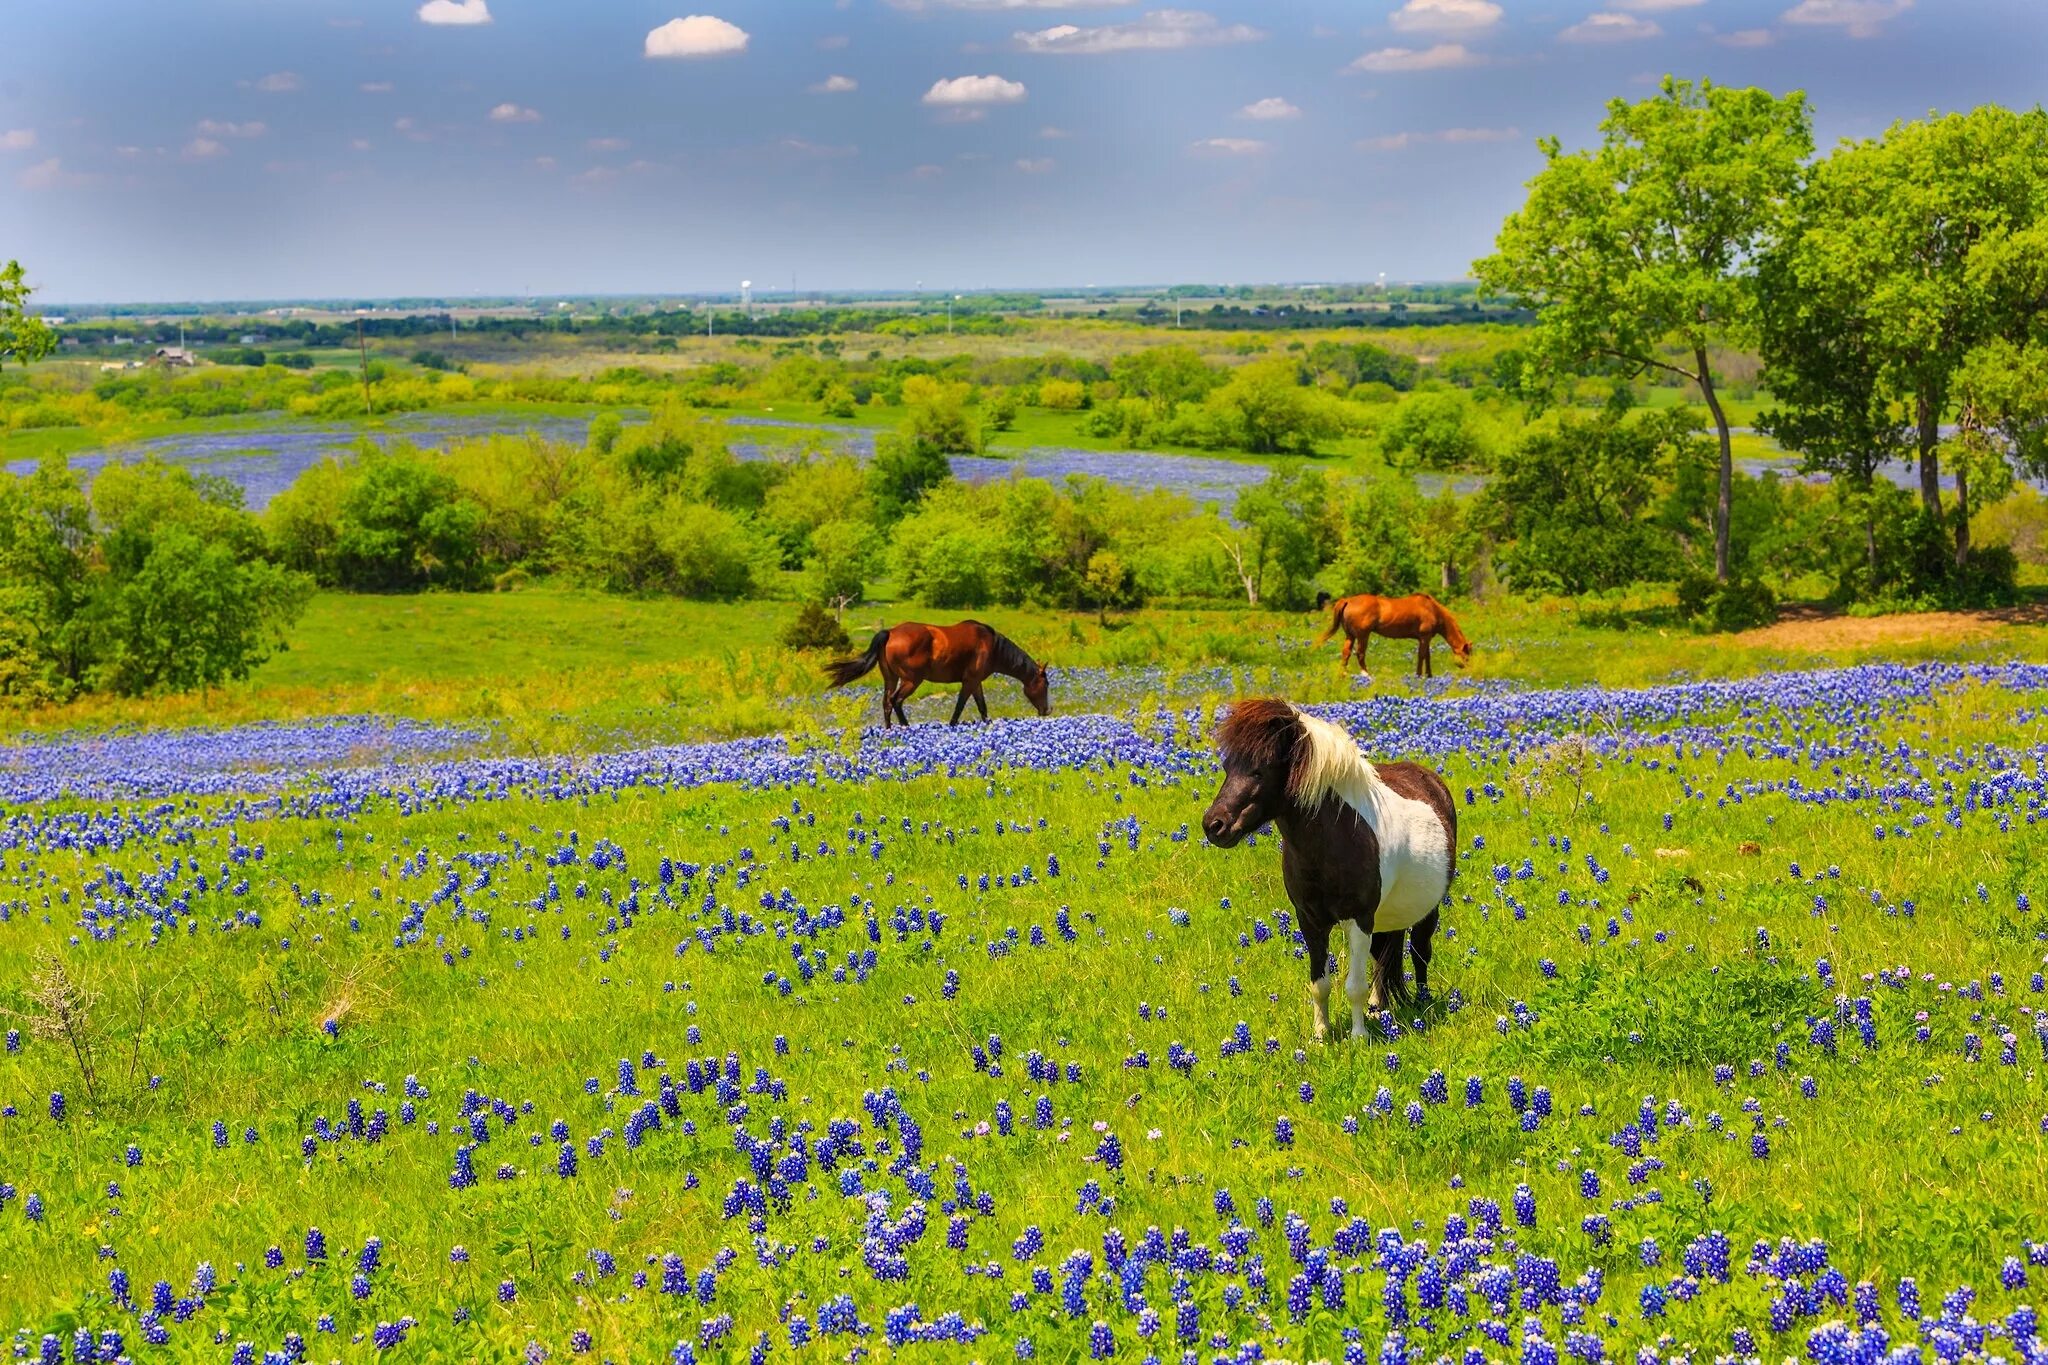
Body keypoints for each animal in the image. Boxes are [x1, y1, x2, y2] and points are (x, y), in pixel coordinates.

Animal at [819, 618, 1048, 724]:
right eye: (1045, 684)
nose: (1047, 710)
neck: (991, 646)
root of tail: (890, 632)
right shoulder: (970, 680)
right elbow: (960, 706)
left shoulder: (976, 682)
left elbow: (982, 707)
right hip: (912, 680)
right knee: (896, 701)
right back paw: (905, 727)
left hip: (891, 678)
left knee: (886, 703)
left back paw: (889, 730)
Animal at [1196, 699, 1458, 1039]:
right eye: (1228, 768)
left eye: (1259, 770)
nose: (1213, 825)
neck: (1334, 840)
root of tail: (1428, 776)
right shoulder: (1310, 920)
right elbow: (1319, 985)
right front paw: (1321, 1035)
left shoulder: (1359, 919)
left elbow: (1355, 986)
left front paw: (1359, 1037)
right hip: (1390, 912)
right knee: (1386, 956)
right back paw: (1381, 1007)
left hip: (1428, 909)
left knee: (1419, 952)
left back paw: (1421, 1001)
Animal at [1310, 593, 1474, 679]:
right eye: (1467, 656)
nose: (1469, 670)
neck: (1432, 609)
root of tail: (1348, 600)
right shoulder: (1424, 637)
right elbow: (1422, 656)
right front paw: (1419, 675)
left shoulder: (1425, 639)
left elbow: (1427, 656)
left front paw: (1429, 675)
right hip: (1363, 635)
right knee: (1360, 654)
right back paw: (1366, 675)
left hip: (1350, 635)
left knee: (1346, 653)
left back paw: (1342, 674)